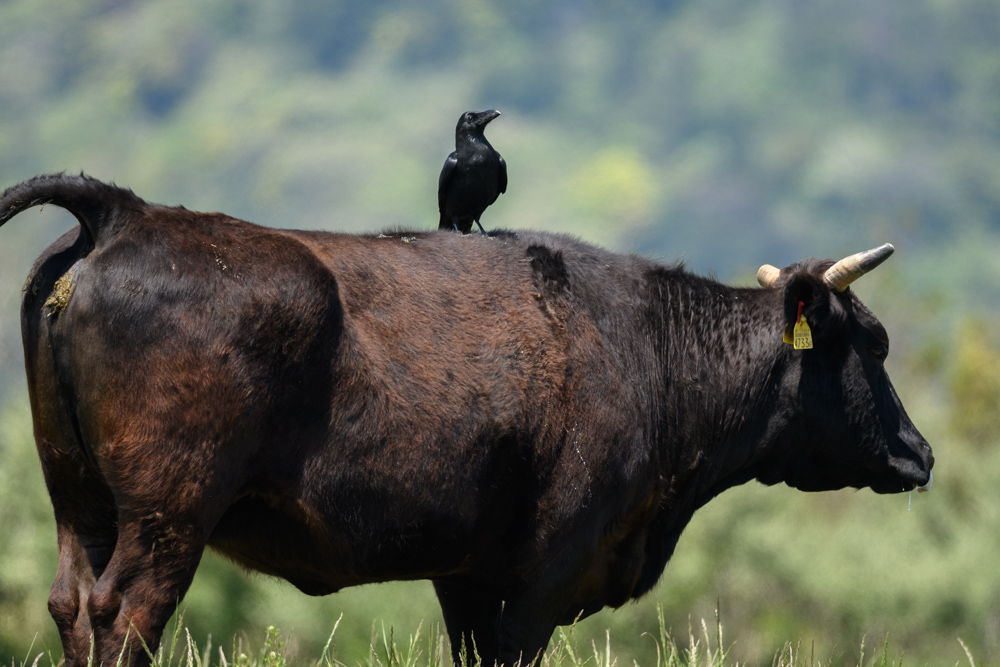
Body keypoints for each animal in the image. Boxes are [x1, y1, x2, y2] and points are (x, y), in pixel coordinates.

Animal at [0, 174, 932, 667]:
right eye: (875, 342)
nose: (920, 453)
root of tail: (126, 208)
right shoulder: (547, 564)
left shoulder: (467, 571)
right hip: (168, 512)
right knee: (124, 614)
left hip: (78, 498)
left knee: (71, 602)